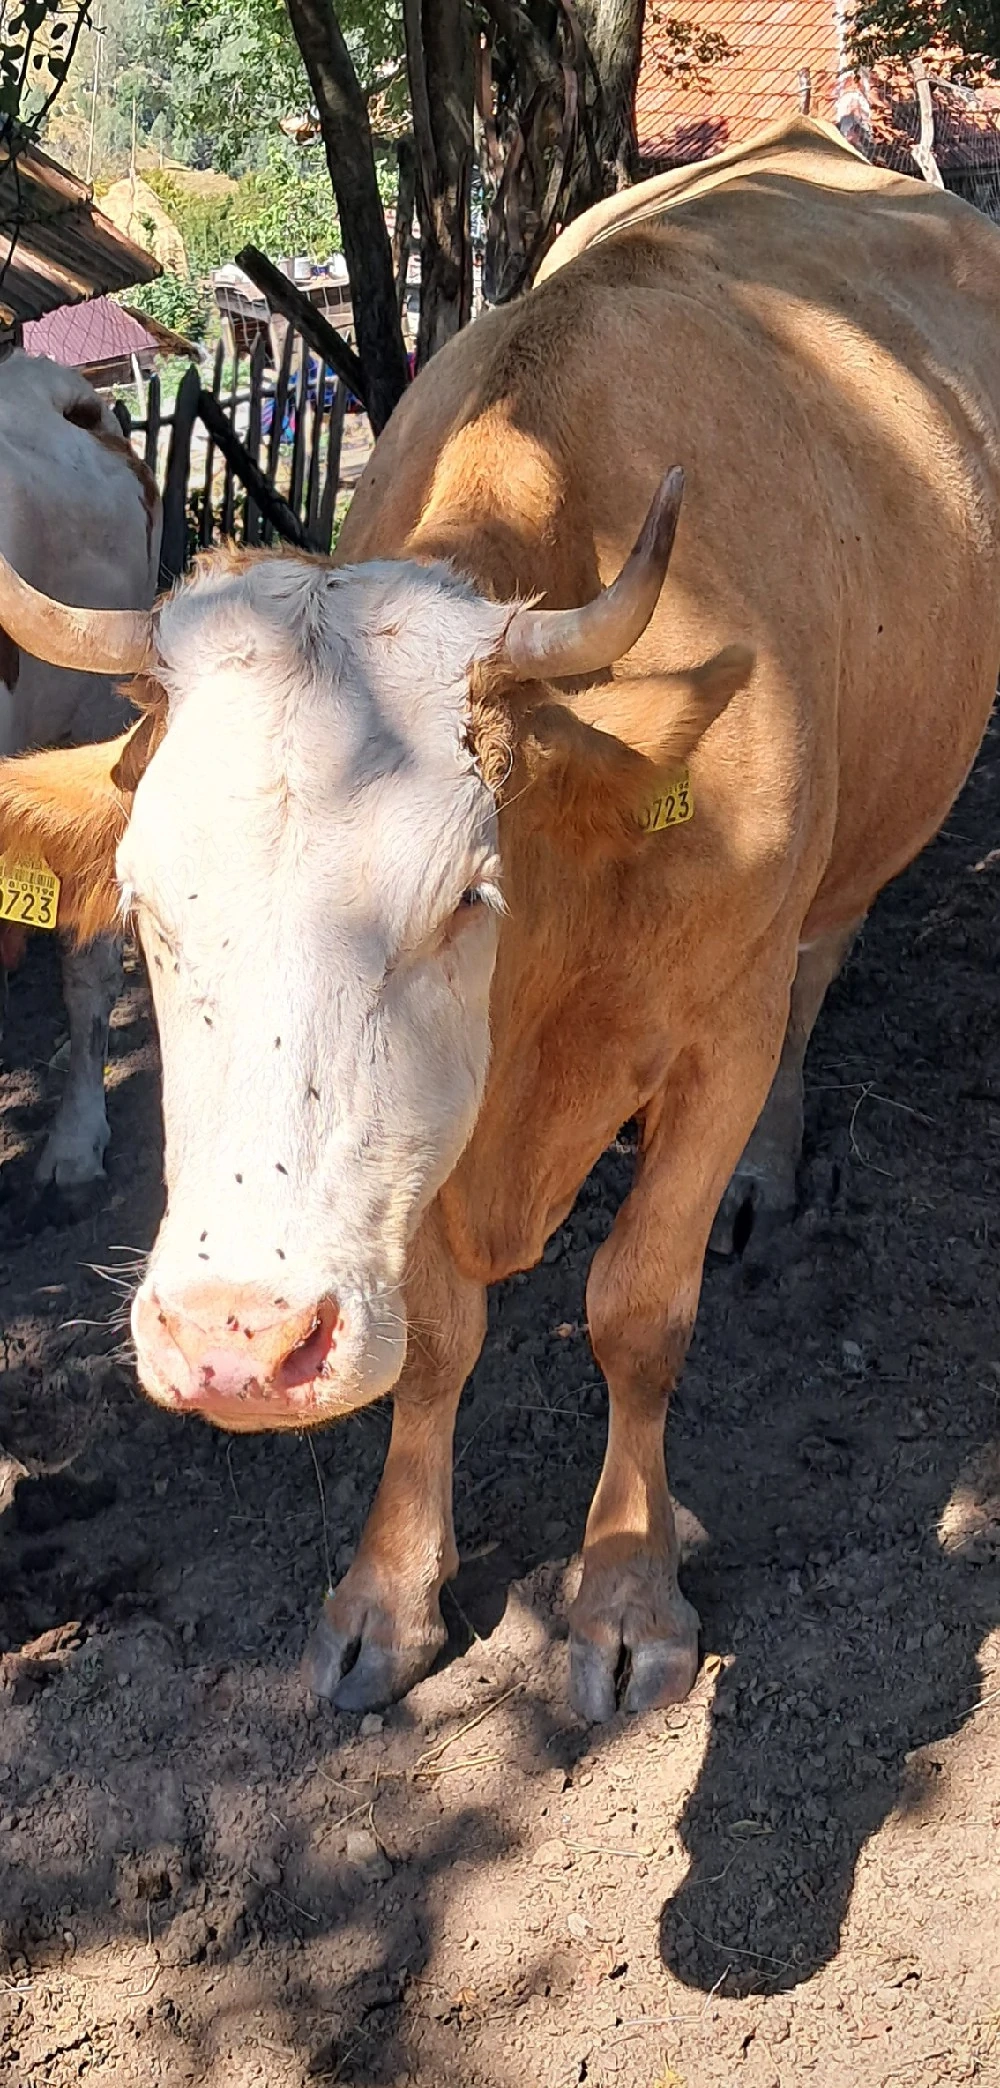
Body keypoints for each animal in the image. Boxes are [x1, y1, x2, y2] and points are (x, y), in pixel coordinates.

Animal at [0, 115, 996, 1721]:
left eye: (464, 896)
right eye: (146, 911)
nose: (236, 1339)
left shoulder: (713, 1032)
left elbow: (638, 1310)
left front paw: (628, 1593)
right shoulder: (415, 1141)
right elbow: (437, 1338)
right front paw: (388, 1593)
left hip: (852, 867)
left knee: (814, 977)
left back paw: (771, 1176)